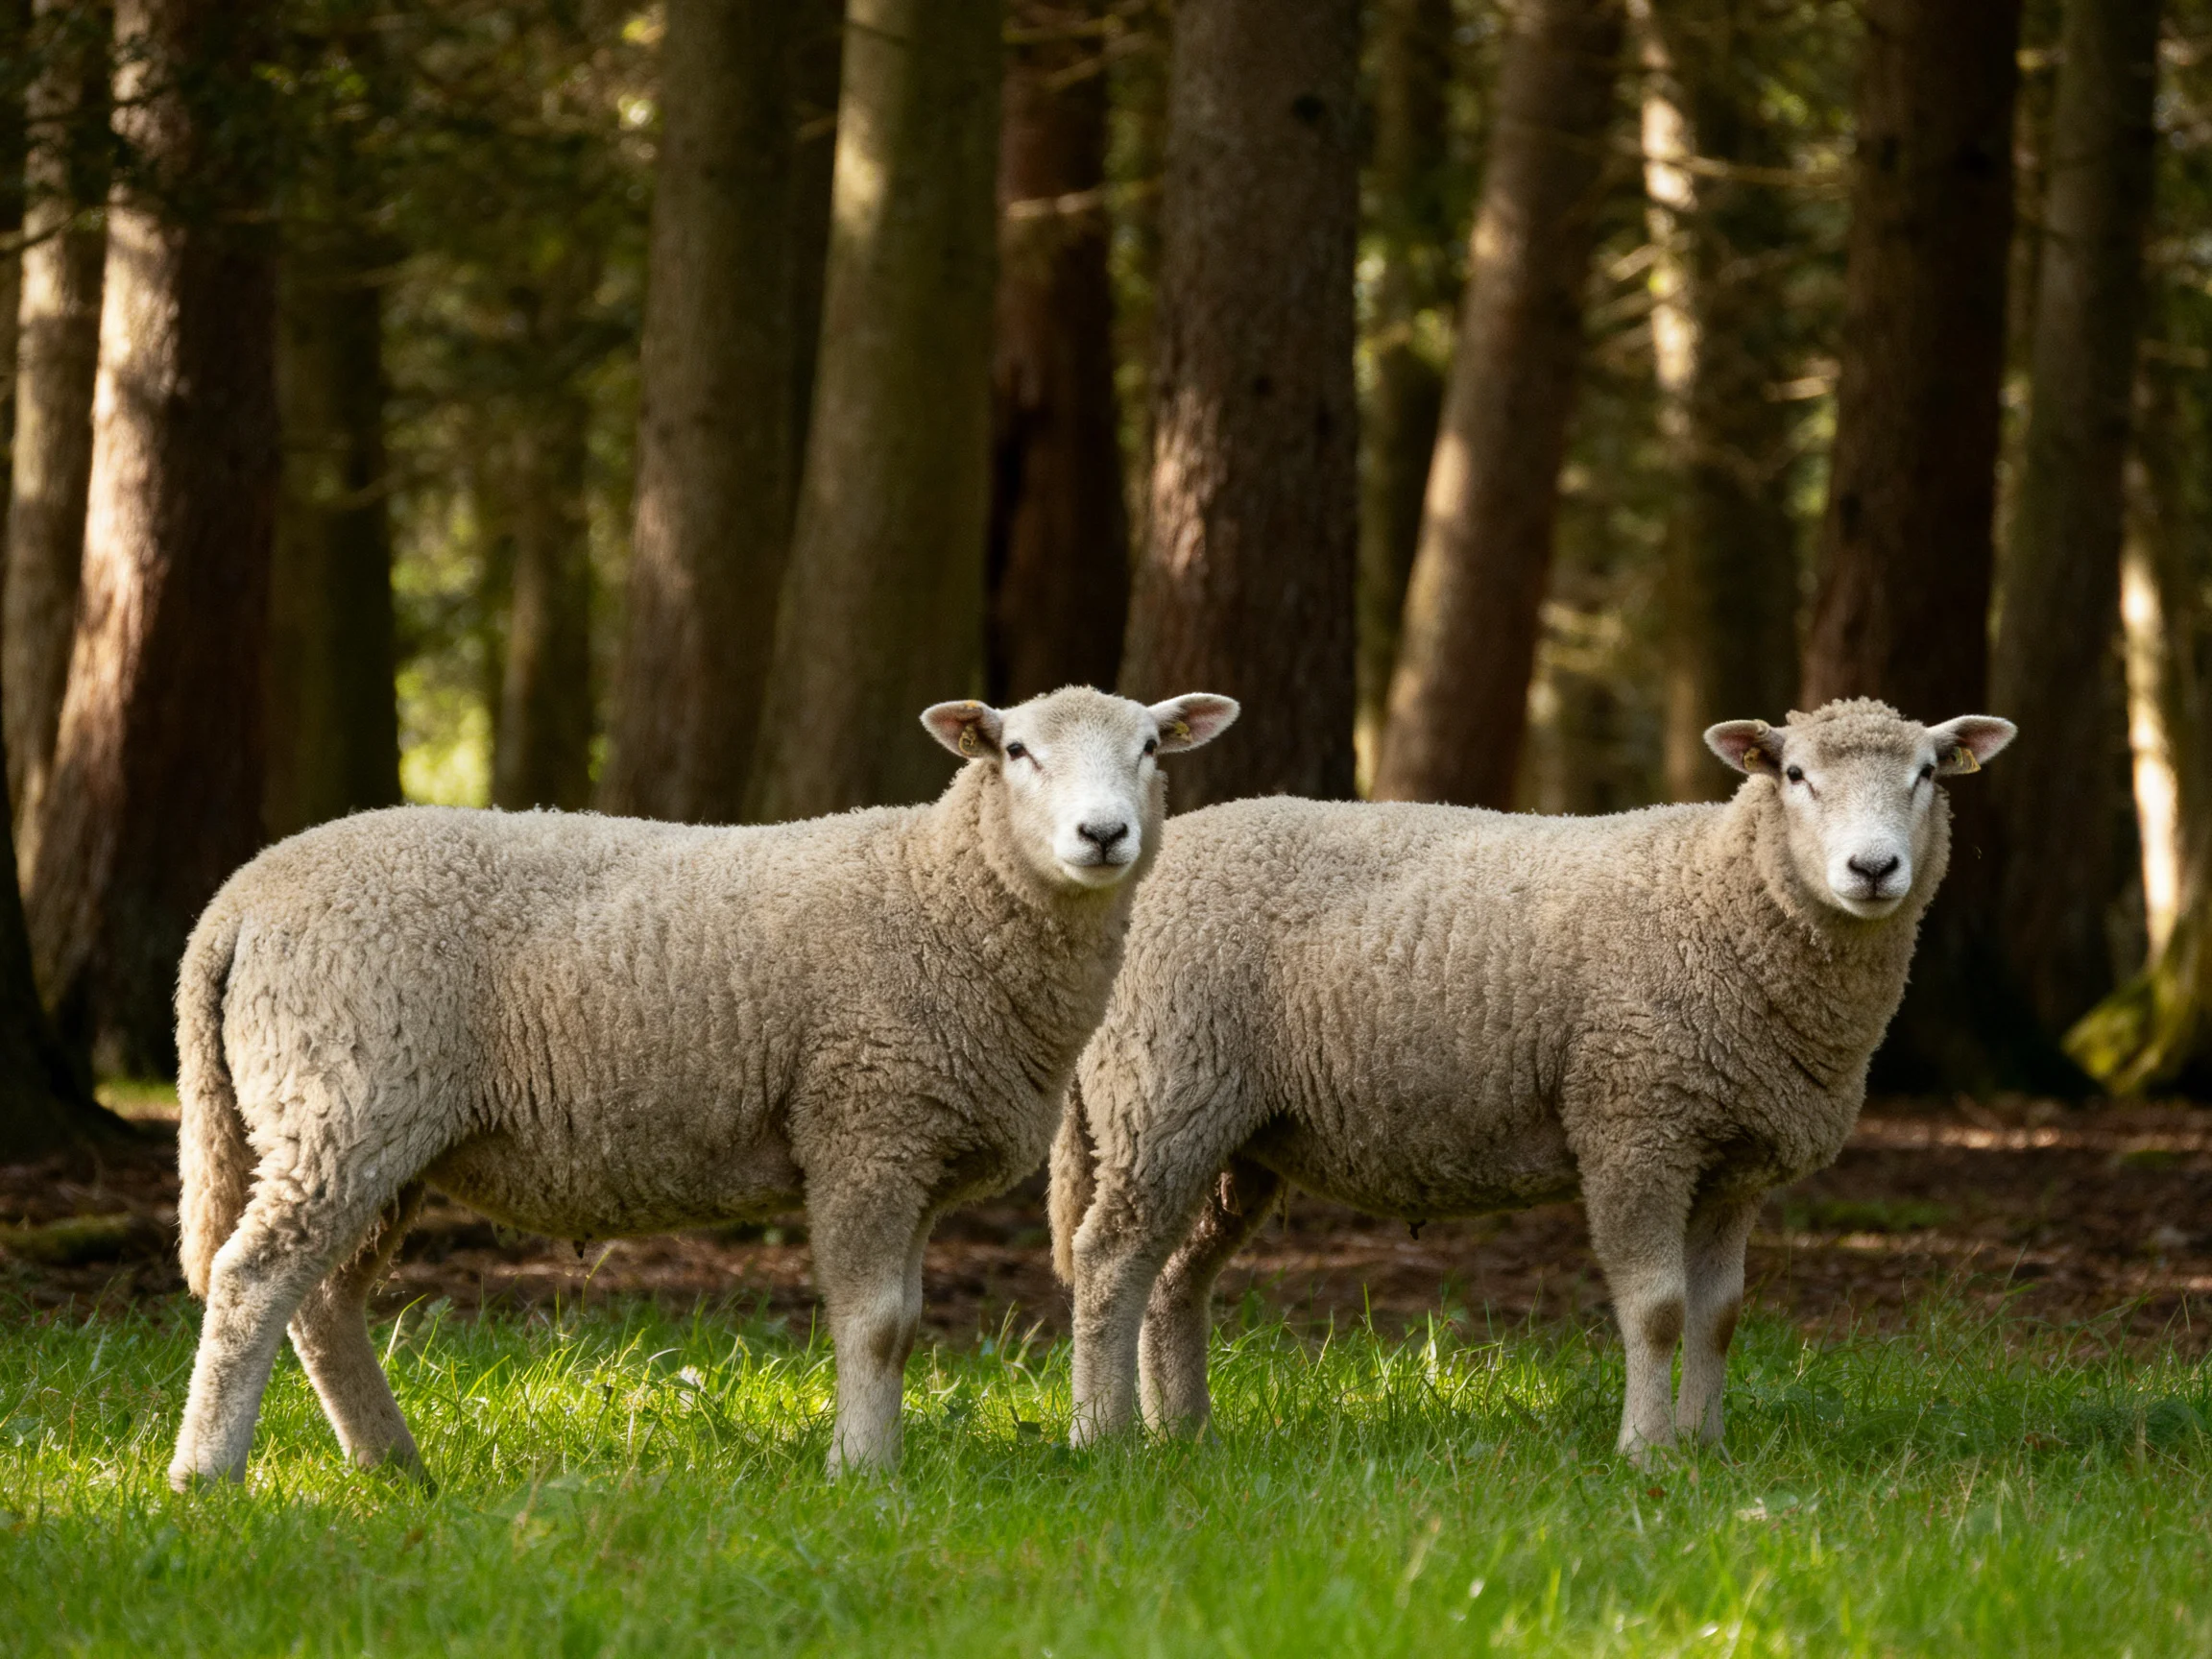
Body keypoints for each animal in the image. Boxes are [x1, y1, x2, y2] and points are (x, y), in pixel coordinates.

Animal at [167, 684, 1239, 1490]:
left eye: (1150, 746)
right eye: (1017, 751)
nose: (1103, 834)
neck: (941, 891)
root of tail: (237, 900)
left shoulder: (910, 1145)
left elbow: (901, 1324)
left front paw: (877, 1460)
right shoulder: (864, 1125)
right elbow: (875, 1324)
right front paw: (862, 1474)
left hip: (371, 1128)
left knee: (322, 1301)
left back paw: (394, 1469)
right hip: (343, 1096)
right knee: (254, 1280)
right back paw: (206, 1476)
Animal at [1052, 698, 2014, 1460]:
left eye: (1928, 771)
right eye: (1797, 774)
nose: (1874, 869)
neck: (1722, 896)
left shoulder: (1730, 1161)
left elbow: (1721, 1315)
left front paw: (1706, 1449)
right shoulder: (1635, 1123)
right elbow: (1659, 1309)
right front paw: (1646, 1452)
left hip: (1231, 1136)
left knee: (1174, 1278)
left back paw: (1186, 1434)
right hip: (1163, 1088)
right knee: (1109, 1263)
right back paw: (1102, 1438)